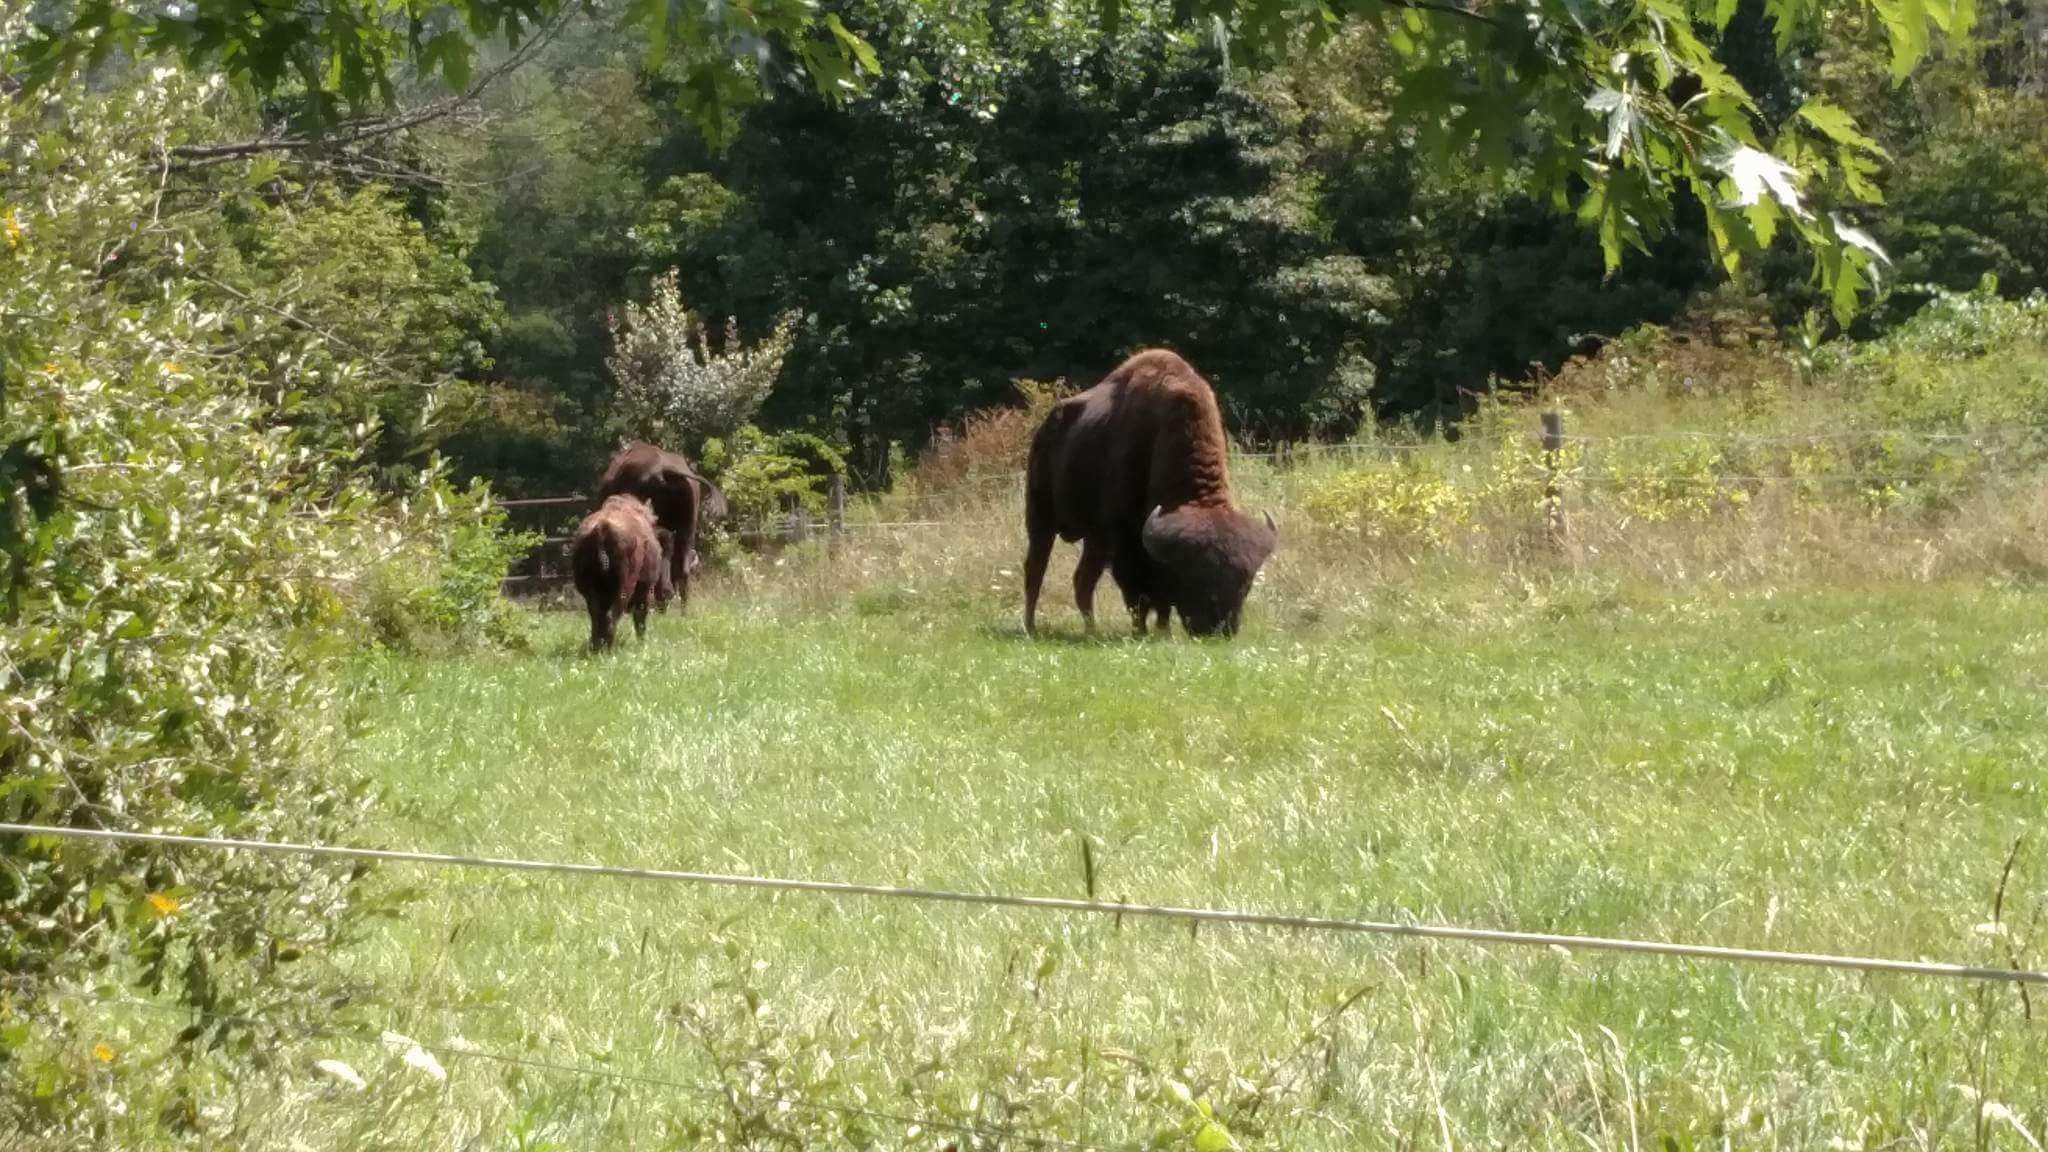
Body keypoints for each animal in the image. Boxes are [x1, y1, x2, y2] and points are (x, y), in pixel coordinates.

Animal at [570, 495, 673, 651]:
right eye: (664, 553)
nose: (669, 592)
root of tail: (601, 529)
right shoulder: (646, 588)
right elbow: (640, 617)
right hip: (624, 589)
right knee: (612, 617)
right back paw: (609, 648)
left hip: (591, 592)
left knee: (597, 616)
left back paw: (596, 646)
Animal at [1023, 349, 1277, 637]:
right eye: (1194, 577)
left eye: (1246, 582)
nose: (1218, 629)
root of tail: (1046, 428)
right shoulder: (1126, 544)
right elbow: (1139, 594)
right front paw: (1142, 631)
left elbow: (1159, 600)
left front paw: (1162, 631)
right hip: (1041, 519)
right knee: (1036, 570)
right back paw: (1031, 627)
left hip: (1093, 539)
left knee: (1083, 581)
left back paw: (1091, 630)